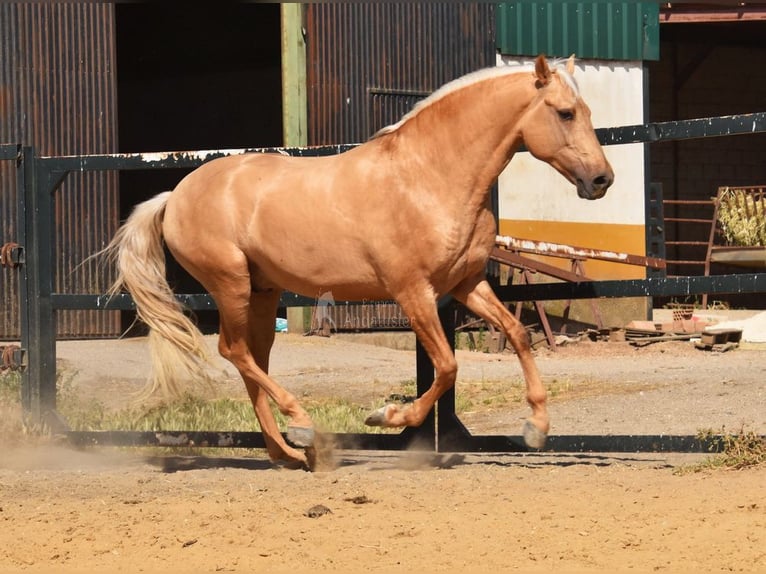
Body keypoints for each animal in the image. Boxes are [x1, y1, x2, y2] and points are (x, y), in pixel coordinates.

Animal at [105, 55, 616, 468]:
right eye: (566, 113)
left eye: (589, 112)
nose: (601, 180)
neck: (429, 176)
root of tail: (175, 195)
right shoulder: (413, 292)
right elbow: (448, 365)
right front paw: (388, 415)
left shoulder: (466, 284)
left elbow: (518, 336)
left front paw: (536, 428)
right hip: (230, 284)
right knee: (233, 351)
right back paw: (302, 426)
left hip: (263, 292)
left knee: (253, 358)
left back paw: (291, 452)